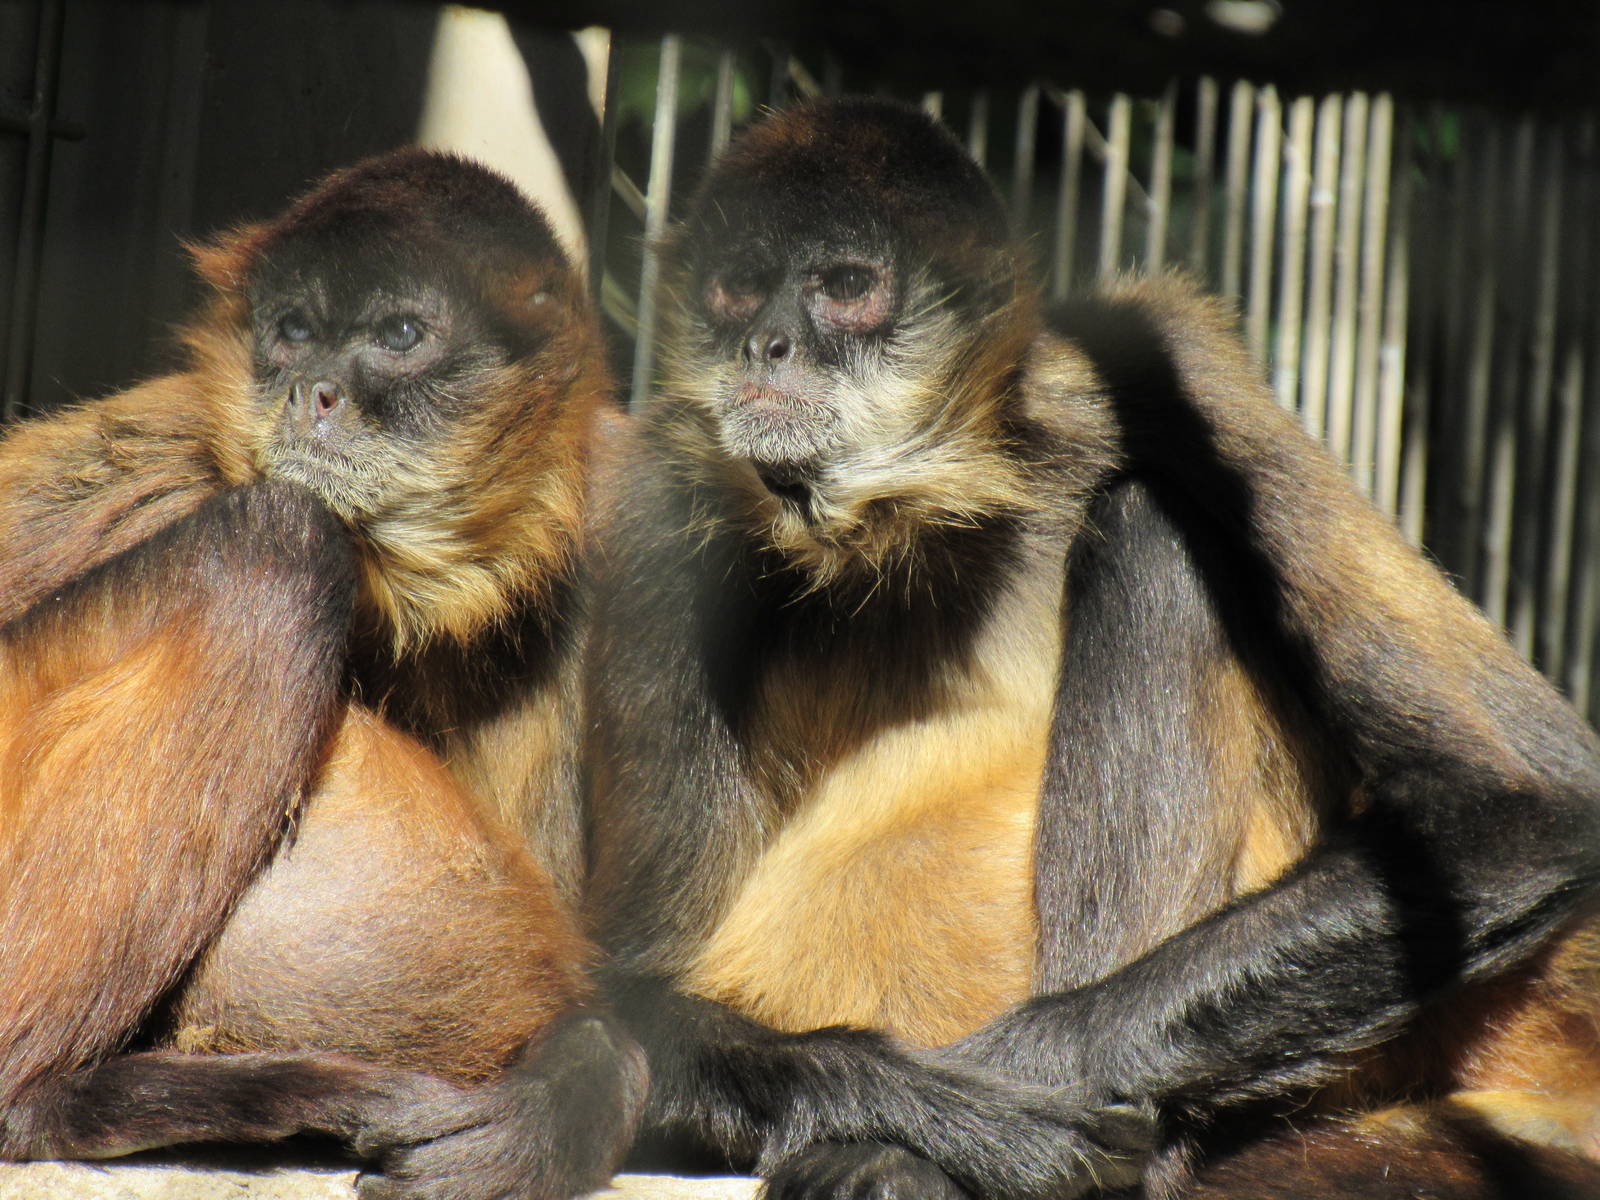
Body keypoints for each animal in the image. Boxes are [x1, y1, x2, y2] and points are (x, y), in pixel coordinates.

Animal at [0, 149, 646, 1199]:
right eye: (294, 330)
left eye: (399, 336)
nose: (313, 390)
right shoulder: (164, 446)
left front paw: (564, 1100)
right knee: (279, 541)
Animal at [581, 97, 1600, 1199]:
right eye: (737, 286)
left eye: (845, 287)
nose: (765, 344)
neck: (912, 521)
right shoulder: (657, 512)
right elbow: (617, 999)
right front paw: (942, 1109)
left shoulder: (1160, 361)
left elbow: (1523, 807)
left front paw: (998, 1096)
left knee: (1155, 536)